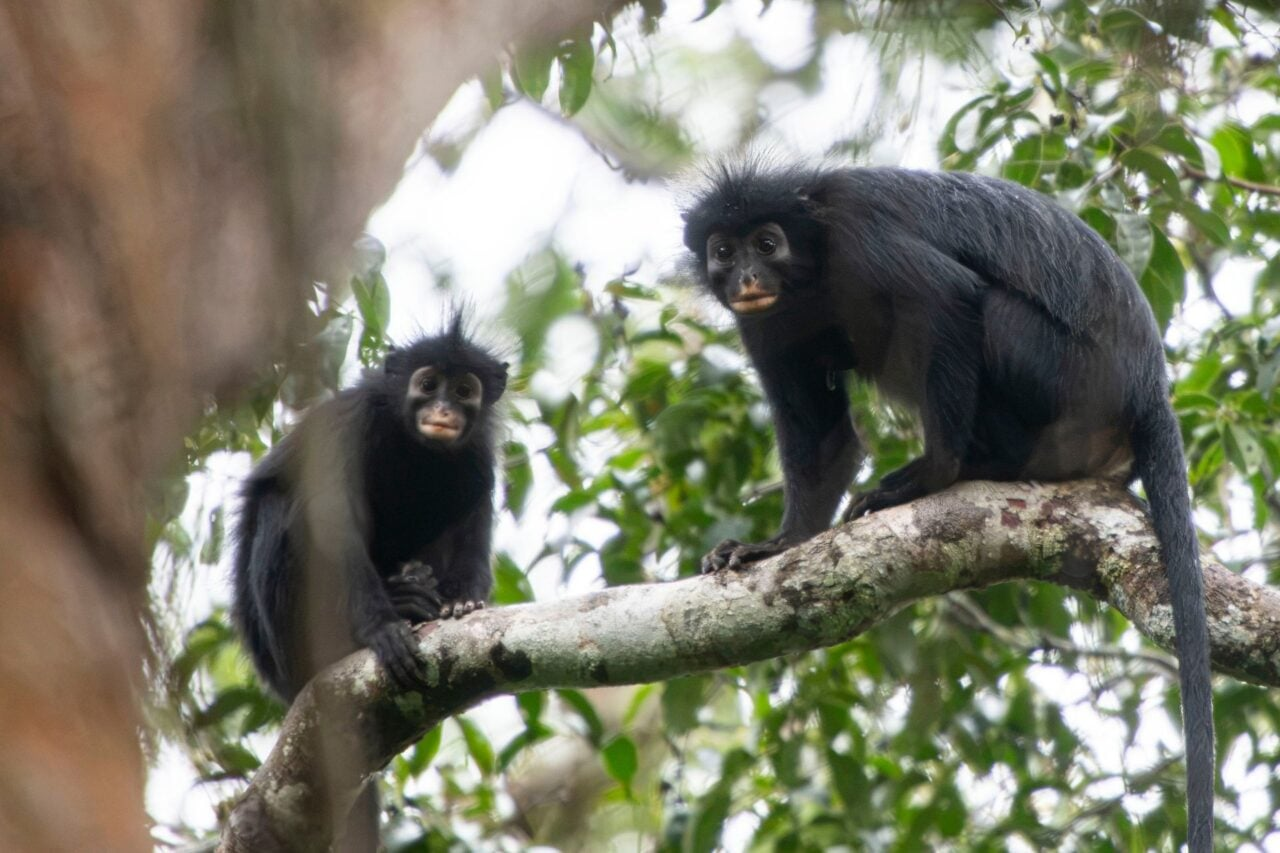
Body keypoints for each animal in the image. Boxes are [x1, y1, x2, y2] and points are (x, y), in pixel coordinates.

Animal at [682, 161, 1213, 851]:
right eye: (725, 251)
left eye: (767, 244)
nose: (748, 276)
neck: (814, 259)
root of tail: (1149, 385)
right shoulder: (766, 320)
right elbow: (822, 436)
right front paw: (776, 545)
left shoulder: (858, 236)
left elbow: (947, 298)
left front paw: (933, 475)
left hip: (1066, 375)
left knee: (984, 309)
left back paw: (978, 466)